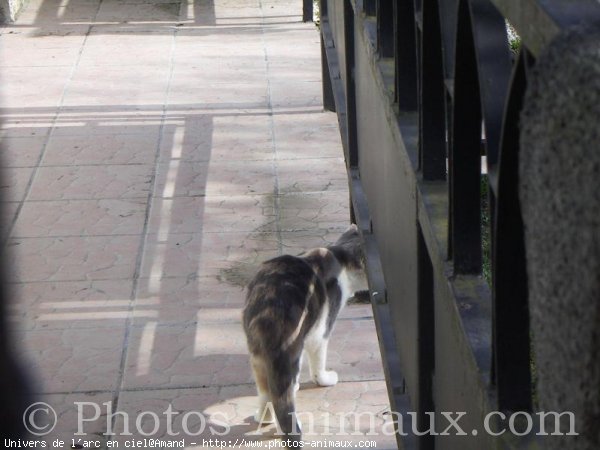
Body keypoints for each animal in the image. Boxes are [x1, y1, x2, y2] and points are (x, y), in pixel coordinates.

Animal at [243, 227, 366, 444]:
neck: (338, 255)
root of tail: (271, 309)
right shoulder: (320, 332)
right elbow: (318, 365)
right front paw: (324, 379)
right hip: (293, 351)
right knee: (284, 397)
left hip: (257, 357)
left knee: (266, 393)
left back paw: (263, 418)